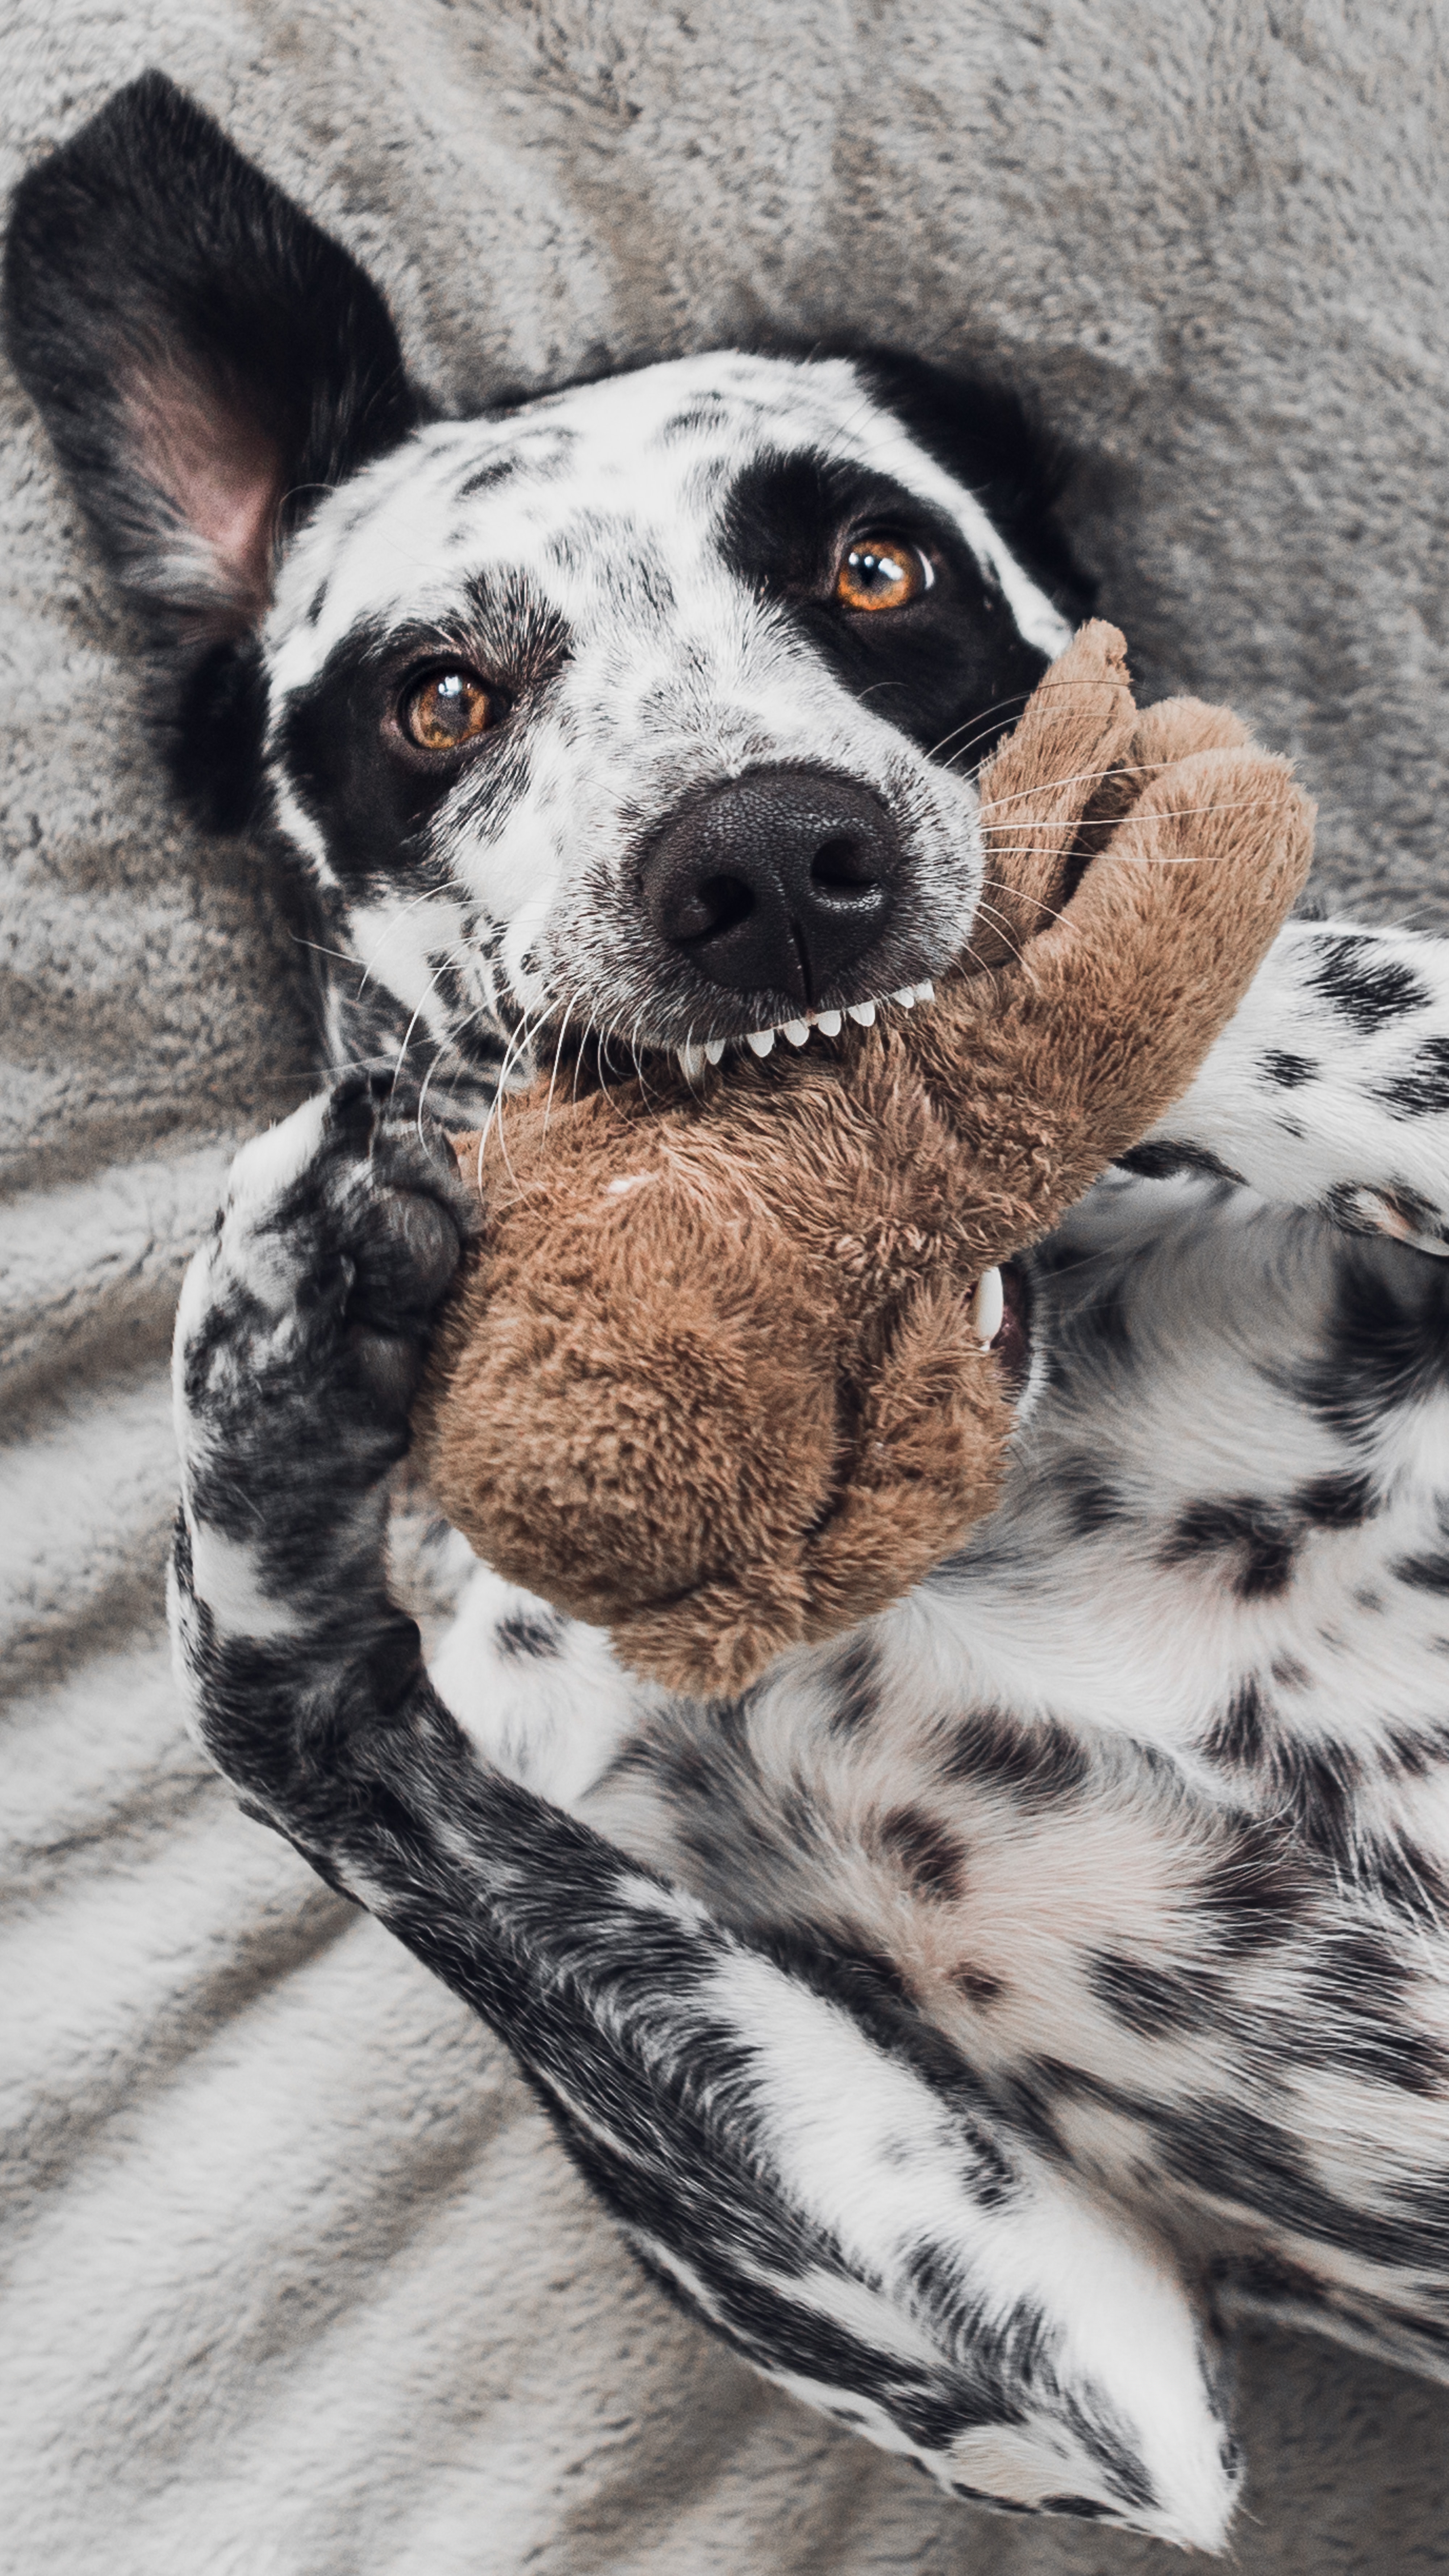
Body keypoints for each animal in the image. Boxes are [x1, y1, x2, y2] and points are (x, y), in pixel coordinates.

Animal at [11, 65, 1449, 2555]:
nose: (772, 858)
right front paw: (269, 1361)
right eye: (440, 697)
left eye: (874, 570)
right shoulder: (1069, 2364)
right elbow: (286, 1703)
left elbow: (1317, 987)